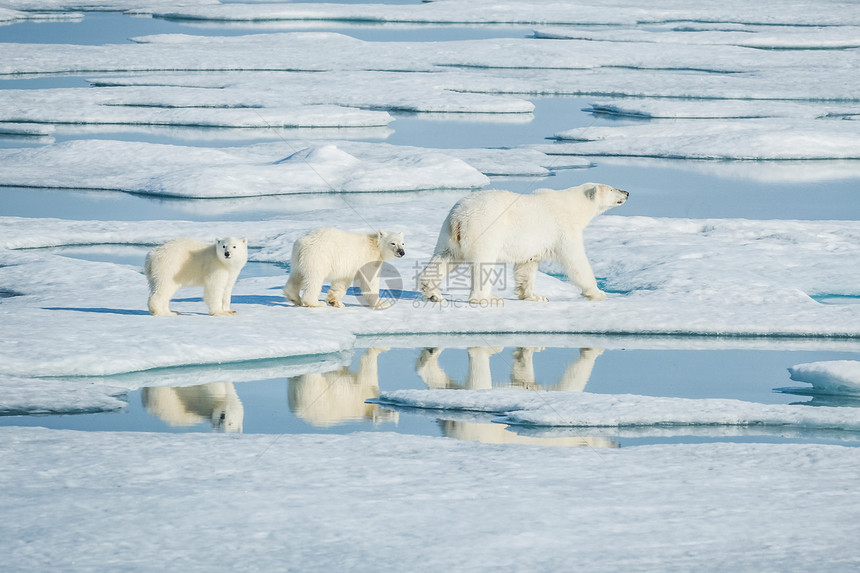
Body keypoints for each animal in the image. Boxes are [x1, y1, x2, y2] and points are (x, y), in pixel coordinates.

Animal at [420, 184, 628, 304]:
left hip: (448, 234)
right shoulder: (563, 229)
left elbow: (527, 266)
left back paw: (432, 293)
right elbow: (575, 261)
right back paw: (488, 298)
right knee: (483, 263)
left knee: (445, 257)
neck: (573, 206)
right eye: (612, 189)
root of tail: (459, 217)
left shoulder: (533, 244)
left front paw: (535, 296)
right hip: (484, 229)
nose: (626, 192)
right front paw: (598, 292)